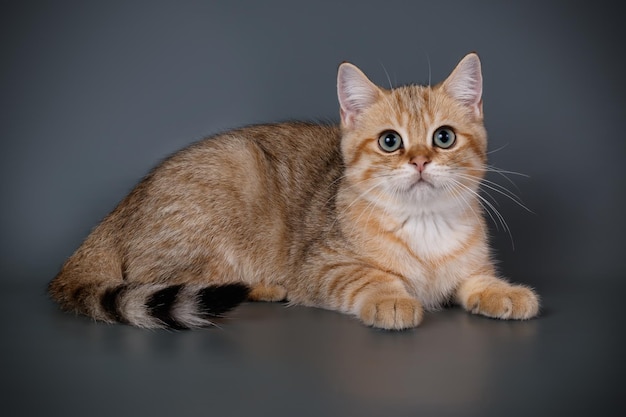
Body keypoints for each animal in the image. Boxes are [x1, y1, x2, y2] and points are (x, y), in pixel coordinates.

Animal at [47, 53, 536, 330]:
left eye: (444, 137)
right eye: (390, 141)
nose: (419, 161)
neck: (423, 224)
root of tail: (121, 208)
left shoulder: (470, 264)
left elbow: (478, 278)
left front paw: (505, 292)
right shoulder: (323, 267)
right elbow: (370, 276)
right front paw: (392, 298)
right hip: (230, 176)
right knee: (174, 278)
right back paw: (262, 287)